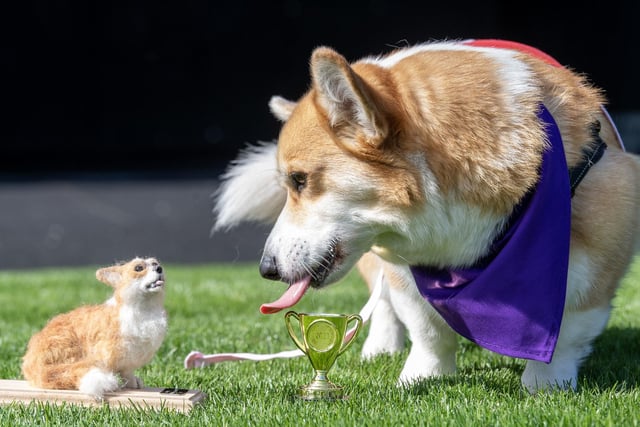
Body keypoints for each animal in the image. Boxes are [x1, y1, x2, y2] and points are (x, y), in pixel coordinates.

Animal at [21, 258, 168, 402]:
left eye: (155, 263)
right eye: (138, 268)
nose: (159, 268)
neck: (145, 309)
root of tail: (34, 364)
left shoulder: (129, 361)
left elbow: (128, 374)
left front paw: (134, 383)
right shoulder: (107, 355)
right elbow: (118, 371)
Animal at [216, 41, 640, 394]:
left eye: (300, 180)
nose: (266, 269)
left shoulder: (594, 265)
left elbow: (567, 330)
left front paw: (545, 386)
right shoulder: (405, 264)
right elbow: (426, 327)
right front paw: (421, 376)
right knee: (382, 302)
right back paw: (381, 346)